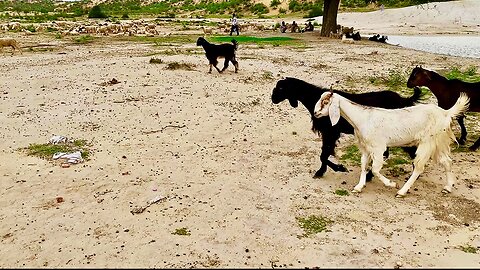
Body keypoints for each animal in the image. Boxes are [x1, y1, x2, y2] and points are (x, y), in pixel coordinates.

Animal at [272, 77, 422, 179]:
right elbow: (324, 153)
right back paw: (370, 176)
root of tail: (403, 100)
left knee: (412, 151)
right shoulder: (329, 133)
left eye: (281, 88)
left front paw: (338, 168)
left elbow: (324, 154)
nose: (273, 98)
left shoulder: (330, 132)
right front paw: (324, 170)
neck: (314, 98)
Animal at [316, 92, 468, 197]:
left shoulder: (378, 147)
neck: (362, 118)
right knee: (447, 161)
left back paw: (401, 191)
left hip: (427, 142)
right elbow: (364, 165)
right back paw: (448, 187)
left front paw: (391, 184)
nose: (316, 113)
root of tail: (446, 113)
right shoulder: (365, 147)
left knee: (419, 167)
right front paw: (358, 187)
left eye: (326, 101)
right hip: (438, 141)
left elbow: (375, 169)